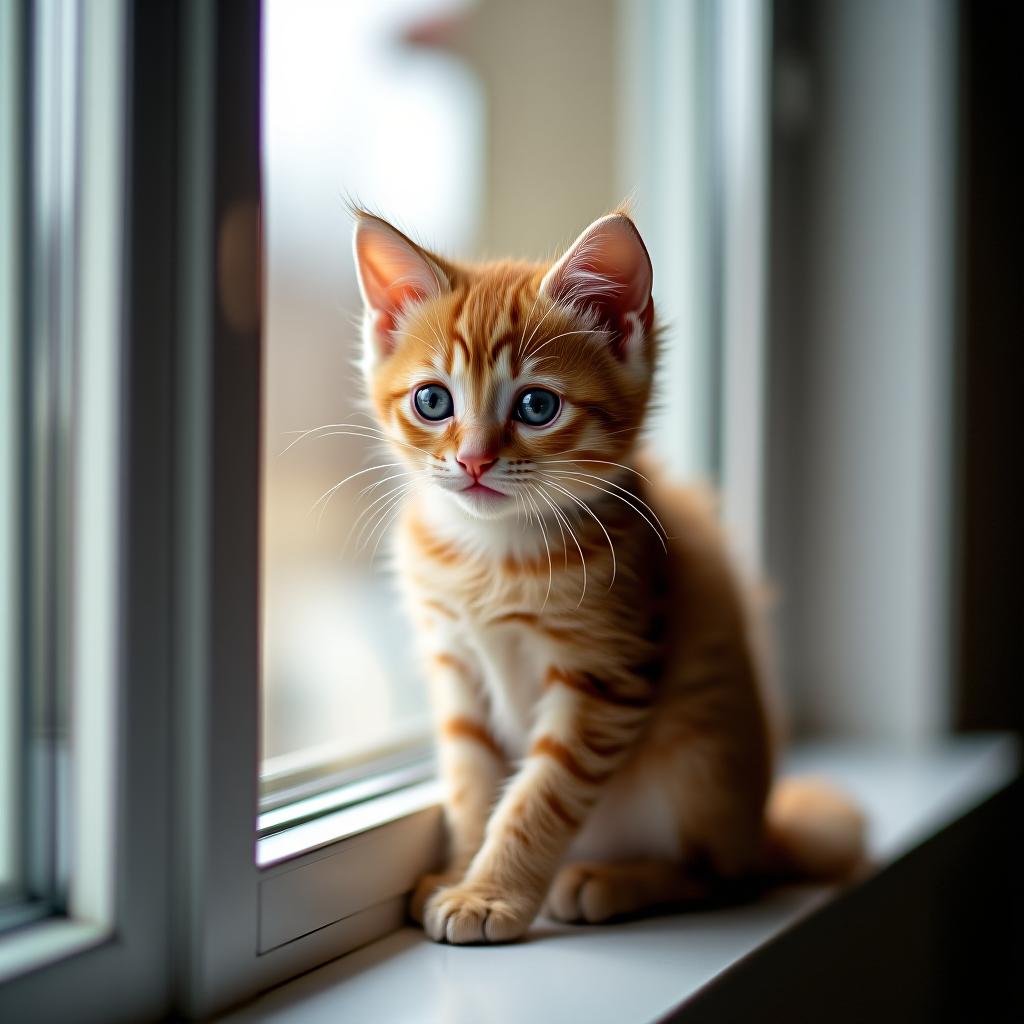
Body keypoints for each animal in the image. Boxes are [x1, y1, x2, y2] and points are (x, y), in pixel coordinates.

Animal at [352, 207, 864, 942]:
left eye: (537, 407)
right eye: (432, 400)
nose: (473, 461)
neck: (492, 553)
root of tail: (758, 832)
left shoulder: (606, 675)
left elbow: (541, 796)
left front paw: (489, 895)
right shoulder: (456, 668)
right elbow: (471, 780)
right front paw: (459, 873)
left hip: (701, 754)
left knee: (724, 878)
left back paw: (611, 881)